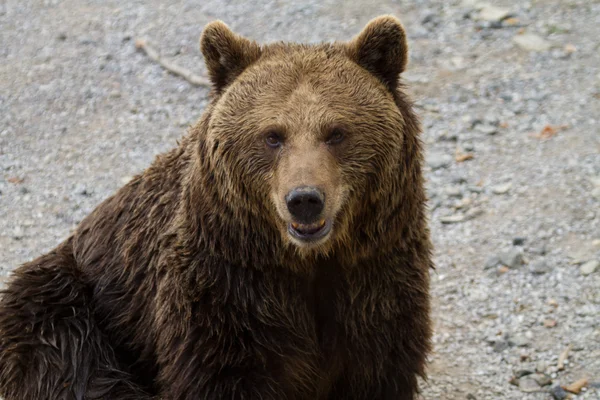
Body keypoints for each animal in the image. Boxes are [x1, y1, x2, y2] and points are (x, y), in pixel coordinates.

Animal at [0, 15, 432, 400]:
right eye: (273, 135)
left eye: (336, 132)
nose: (305, 200)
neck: (305, 260)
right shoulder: (226, 293)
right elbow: (218, 373)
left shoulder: (374, 280)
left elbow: (377, 369)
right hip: (68, 304)